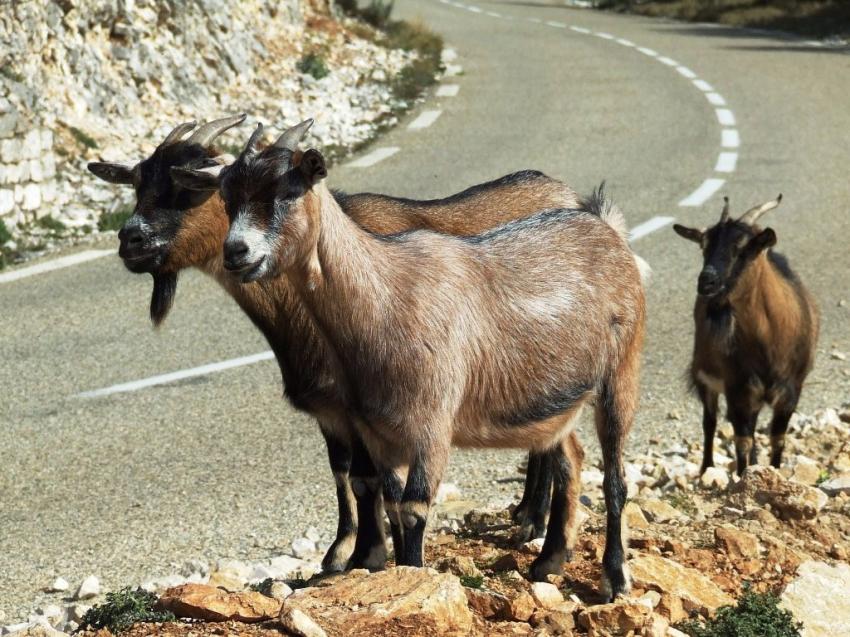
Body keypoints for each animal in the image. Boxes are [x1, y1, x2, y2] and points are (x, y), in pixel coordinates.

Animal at [86, 114, 576, 572]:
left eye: (188, 190)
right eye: (138, 183)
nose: (130, 240)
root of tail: (567, 195)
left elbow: (369, 480)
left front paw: (370, 555)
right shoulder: (335, 411)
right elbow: (349, 475)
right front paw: (347, 551)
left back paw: (534, 521)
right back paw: (526, 513)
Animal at [672, 196, 820, 474]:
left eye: (743, 248)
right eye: (704, 246)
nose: (706, 282)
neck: (769, 342)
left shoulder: (791, 390)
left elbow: (777, 438)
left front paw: (772, 472)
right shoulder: (737, 388)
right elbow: (741, 440)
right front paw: (743, 479)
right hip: (705, 375)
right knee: (710, 421)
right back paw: (707, 468)